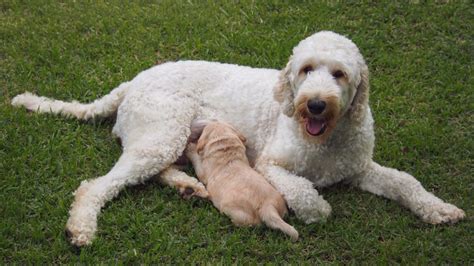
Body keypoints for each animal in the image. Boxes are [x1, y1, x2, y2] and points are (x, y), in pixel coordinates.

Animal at [12, 30, 466, 245]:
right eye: (306, 69)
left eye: (339, 74)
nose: (316, 104)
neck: (326, 140)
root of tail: (131, 82)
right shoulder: (268, 165)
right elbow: (302, 192)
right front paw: (317, 207)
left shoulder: (359, 168)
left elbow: (405, 182)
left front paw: (438, 209)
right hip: (163, 131)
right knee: (98, 185)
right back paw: (81, 228)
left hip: (163, 139)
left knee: (156, 170)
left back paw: (188, 187)